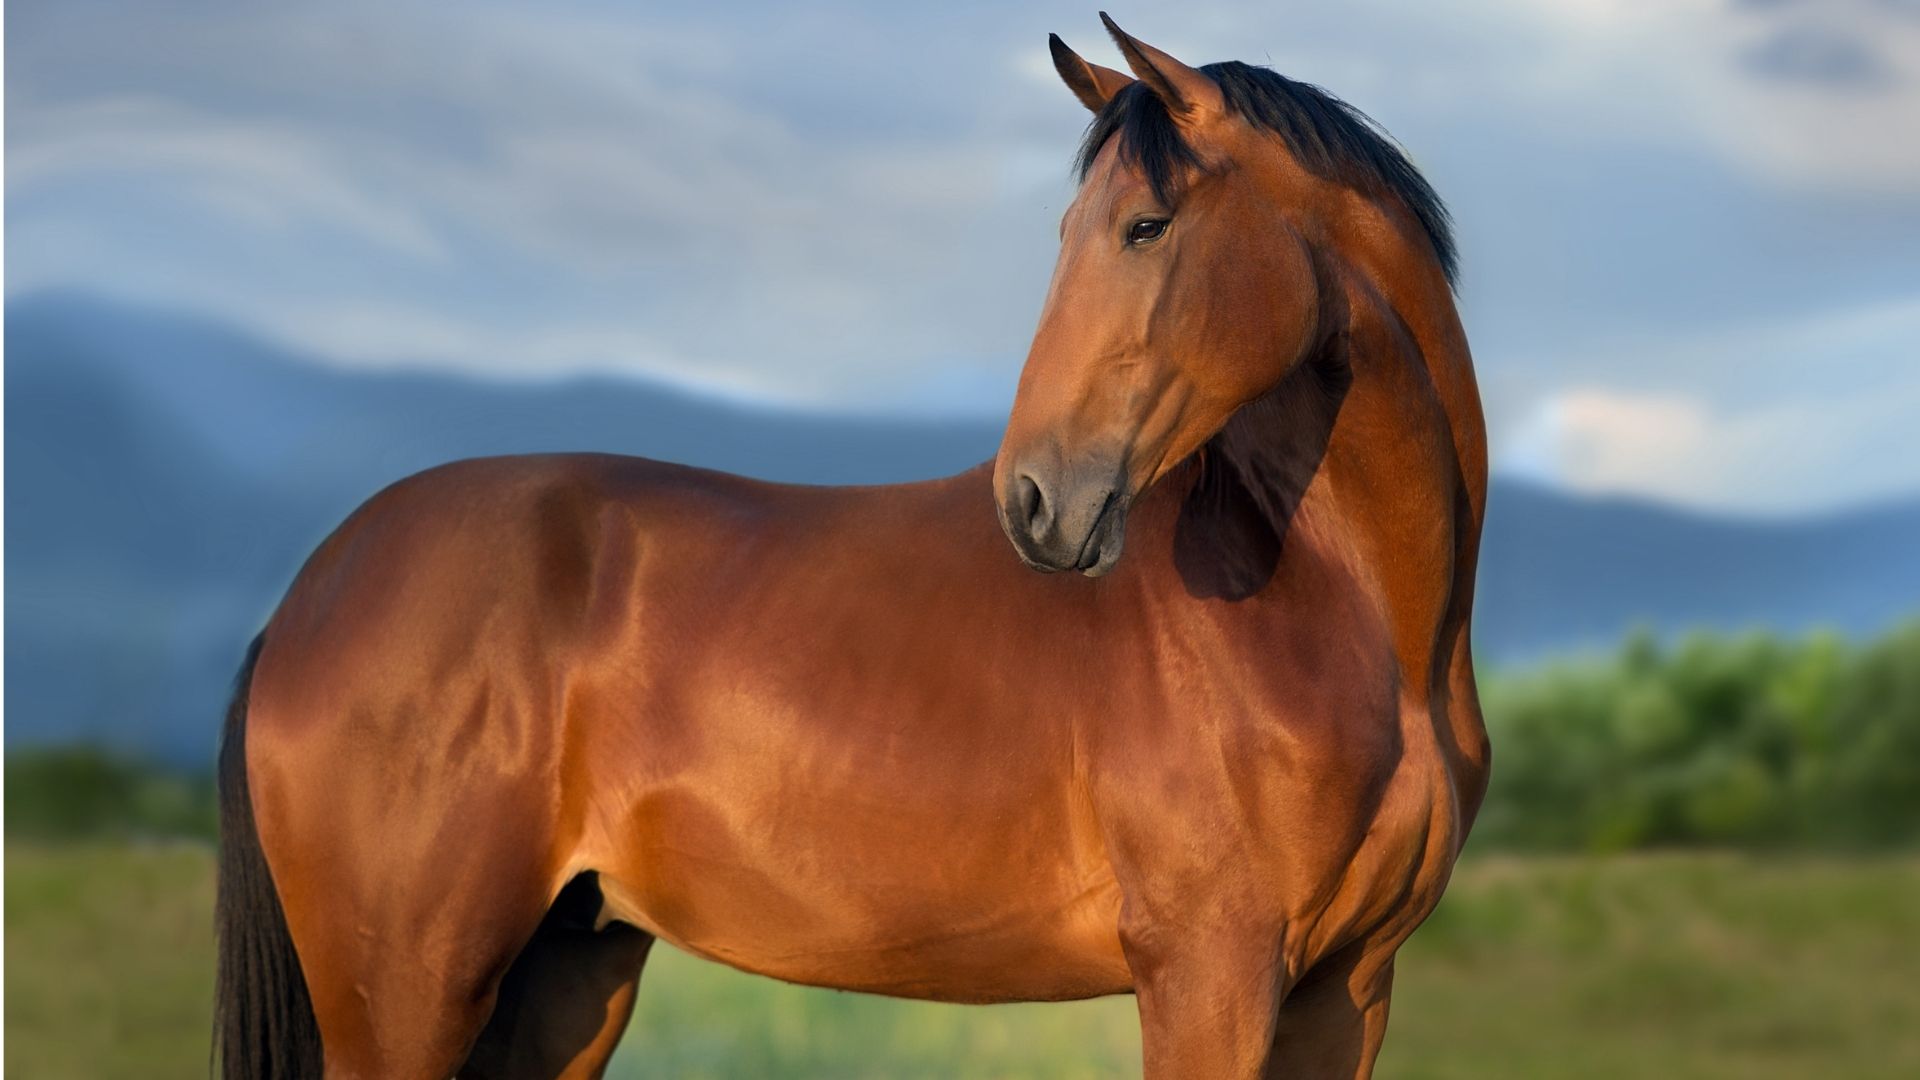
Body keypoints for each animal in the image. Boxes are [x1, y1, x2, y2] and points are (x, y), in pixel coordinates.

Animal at [214, 15, 1488, 1079]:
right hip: (411, 998)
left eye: (1145, 224)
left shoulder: (1345, 990)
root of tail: (312, 590)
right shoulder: (1209, 974)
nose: (1033, 499)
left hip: (568, 968)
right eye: (1084, 228)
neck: (1333, 608)